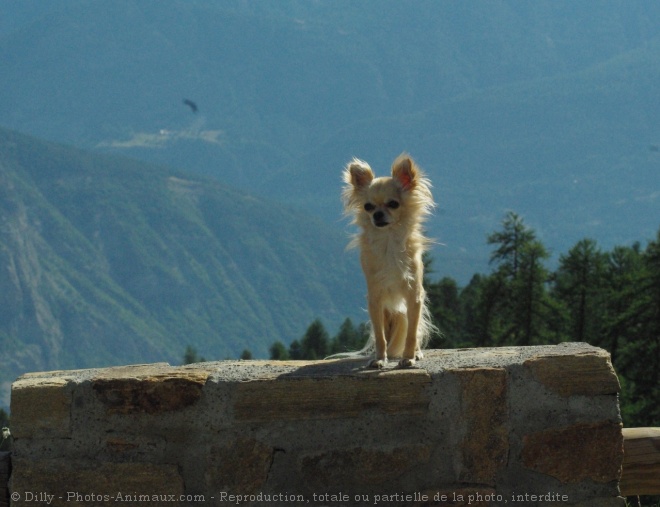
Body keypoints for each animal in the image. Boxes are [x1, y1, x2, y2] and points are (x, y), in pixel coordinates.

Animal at [342, 155, 436, 370]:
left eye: (393, 204)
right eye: (368, 207)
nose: (377, 214)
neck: (388, 241)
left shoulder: (414, 297)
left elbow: (411, 334)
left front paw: (409, 358)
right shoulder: (375, 299)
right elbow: (380, 336)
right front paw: (379, 359)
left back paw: (417, 352)